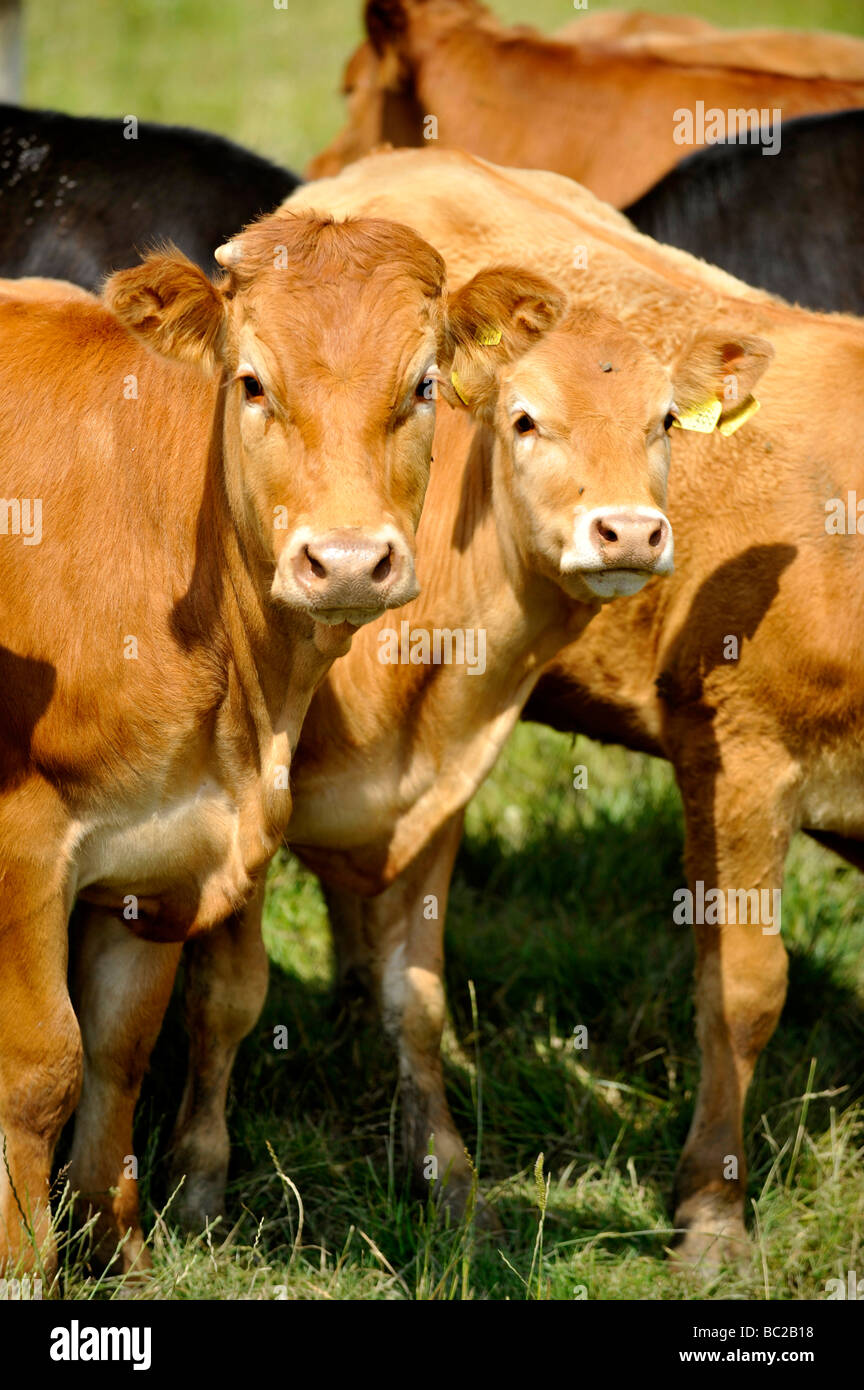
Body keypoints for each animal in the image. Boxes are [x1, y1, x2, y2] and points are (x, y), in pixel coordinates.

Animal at [0, 210, 543, 1275]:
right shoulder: (23, 844)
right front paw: (24, 1265)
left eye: (424, 385)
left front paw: (119, 1254)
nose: (347, 560)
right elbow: (41, 1066)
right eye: (252, 383)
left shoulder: (166, 855)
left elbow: (118, 1053)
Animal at [211, 147, 861, 1270]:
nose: (629, 530)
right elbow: (744, 991)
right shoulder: (741, 758)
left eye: (664, 424)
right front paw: (713, 1213)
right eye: (525, 421)